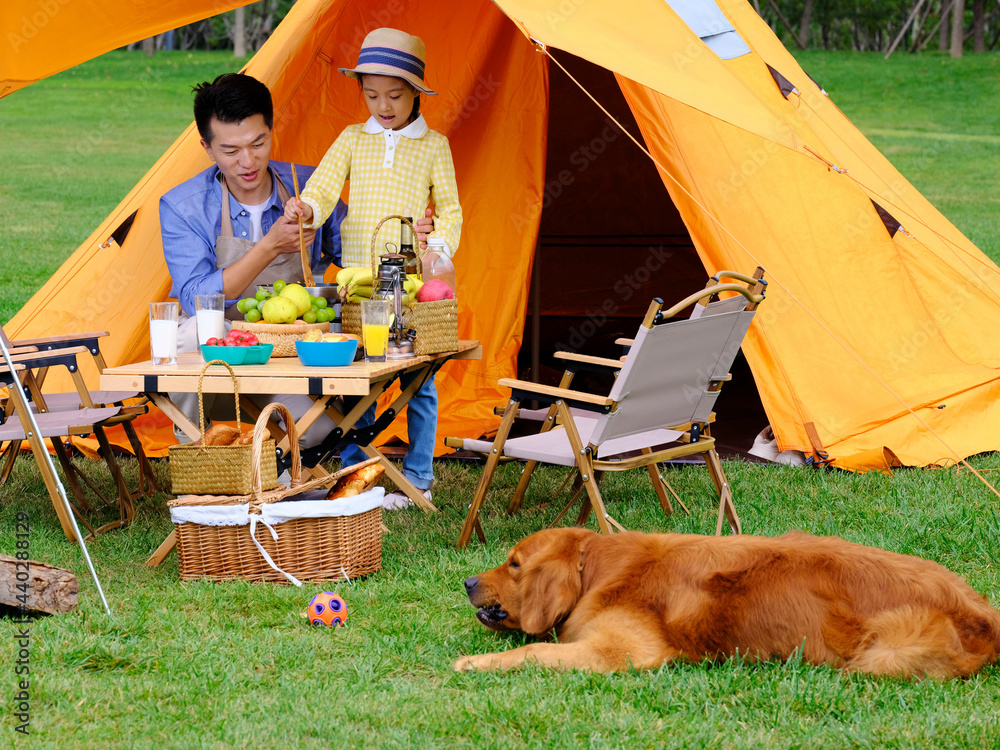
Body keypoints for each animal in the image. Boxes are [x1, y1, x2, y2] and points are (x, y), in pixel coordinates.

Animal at [456, 528, 1000, 680]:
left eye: (513, 564)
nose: (466, 581)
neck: (596, 568)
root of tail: (984, 614)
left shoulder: (619, 650)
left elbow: (533, 650)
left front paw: (472, 662)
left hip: (886, 653)